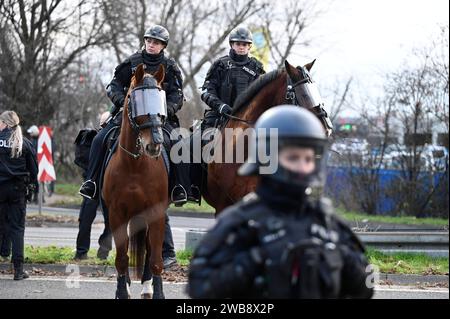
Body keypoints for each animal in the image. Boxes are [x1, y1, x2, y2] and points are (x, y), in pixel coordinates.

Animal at [102, 63, 169, 298]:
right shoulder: (117, 214)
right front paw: (122, 291)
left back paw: (147, 287)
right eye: (133, 98)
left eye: (160, 98)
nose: (154, 144)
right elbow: (122, 259)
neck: (135, 165)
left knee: (148, 253)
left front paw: (157, 292)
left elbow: (155, 258)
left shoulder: (156, 212)